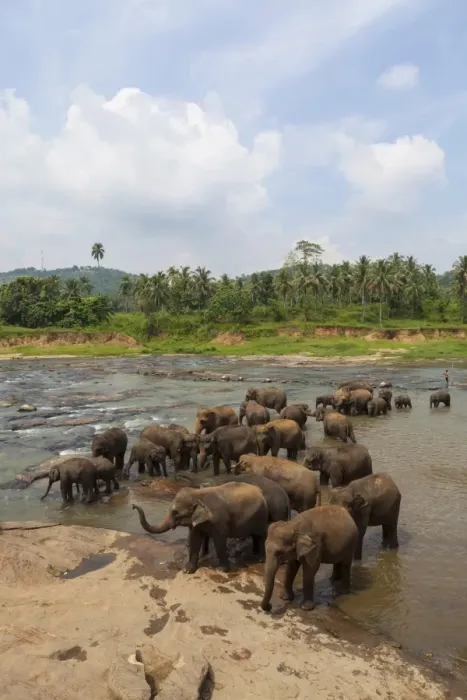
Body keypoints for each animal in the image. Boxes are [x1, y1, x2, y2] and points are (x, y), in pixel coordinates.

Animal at [132, 481, 269, 573]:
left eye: (175, 513)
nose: (133, 506)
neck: (197, 493)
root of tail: (260, 491)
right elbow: (195, 539)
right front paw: (188, 570)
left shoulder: (219, 521)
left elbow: (219, 541)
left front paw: (222, 569)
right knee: (255, 536)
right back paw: (255, 554)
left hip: (261, 516)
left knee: (261, 536)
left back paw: (261, 559)